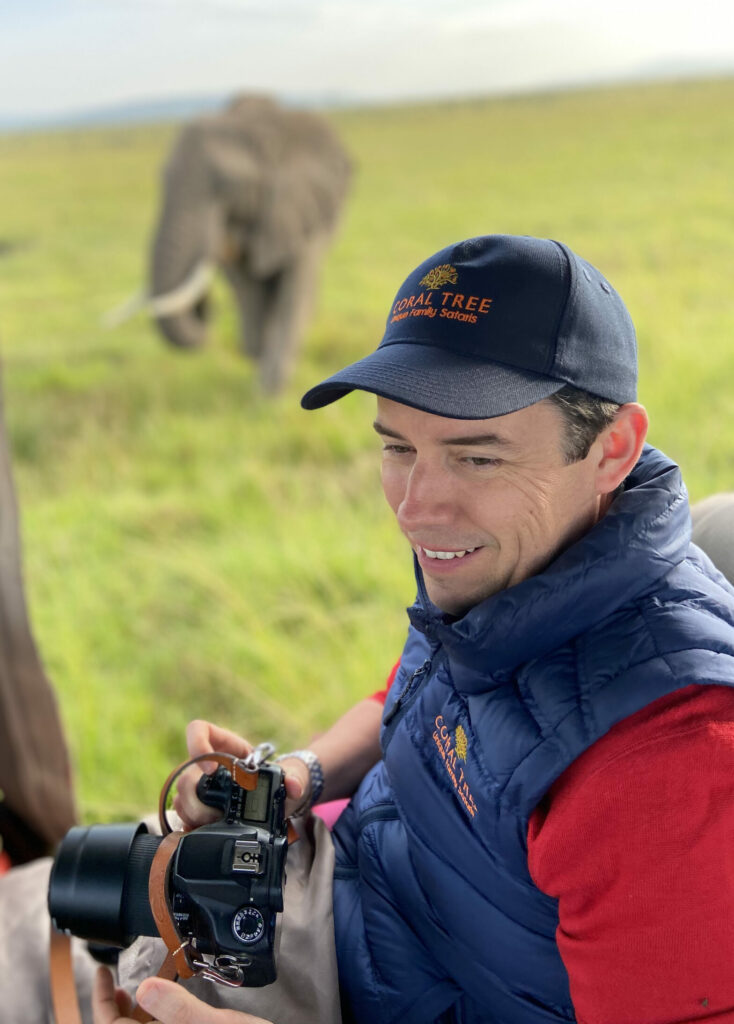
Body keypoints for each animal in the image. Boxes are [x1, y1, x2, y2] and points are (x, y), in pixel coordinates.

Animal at [145, 96, 350, 393]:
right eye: (163, 178)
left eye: (226, 185)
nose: (204, 308)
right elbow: (248, 288)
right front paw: (261, 383)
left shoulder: (297, 203)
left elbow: (294, 288)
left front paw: (273, 393)